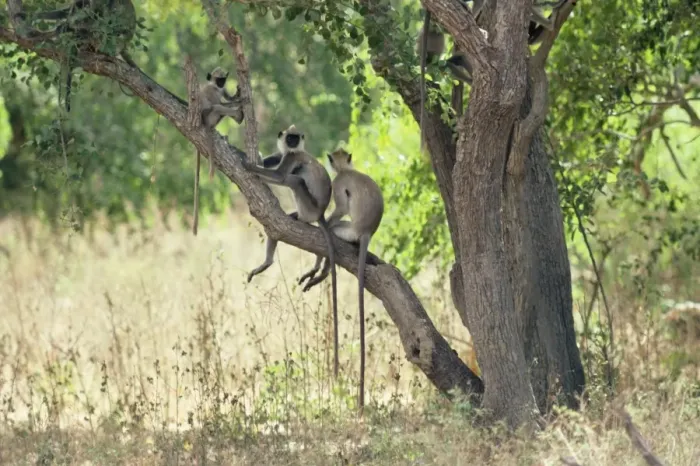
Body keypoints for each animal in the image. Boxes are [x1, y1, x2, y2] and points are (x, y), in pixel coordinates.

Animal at [192, 66, 244, 236]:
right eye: (218, 79)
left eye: (224, 79)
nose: (221, 84)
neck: (215, 86)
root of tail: (205, 123)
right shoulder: (212, 91)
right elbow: (221, 102)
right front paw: (240, 101)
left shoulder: (222, 90)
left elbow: (227, 98)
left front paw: (238, 93)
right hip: (210, 116)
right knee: (216, 107)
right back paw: (238, 115)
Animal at [242, 125, 340, 379]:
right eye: (290, 137)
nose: (294, 142)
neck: (295, 150)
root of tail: (320, 213)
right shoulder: (285, 153)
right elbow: (270, 161)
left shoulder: (293, 157)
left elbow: (279, 176)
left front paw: (247, 165)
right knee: (277, 225)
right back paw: (268, 262)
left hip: (307, 204)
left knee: (294, 179)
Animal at [299, 148, 385, 412]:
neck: (347, 170)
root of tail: (366, 232)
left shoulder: (338, 185)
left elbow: (341, 206)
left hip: (348, 230)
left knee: (333, 233)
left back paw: (320, 270)